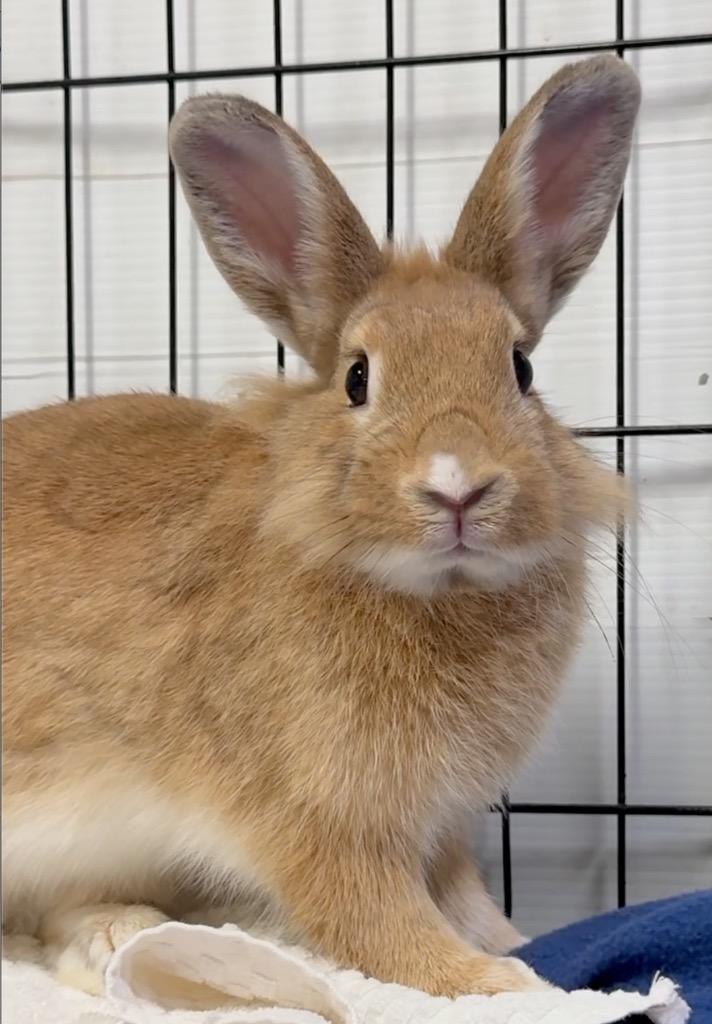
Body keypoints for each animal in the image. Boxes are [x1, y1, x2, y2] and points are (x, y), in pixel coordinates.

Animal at [2, 54, 640, 999]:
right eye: (357, 377)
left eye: (520, 368)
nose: (458, 487)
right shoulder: (321, 817)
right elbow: (375, 921)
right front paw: (500, 985)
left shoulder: (437, 821)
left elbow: (460, 893)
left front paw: (514, 945)